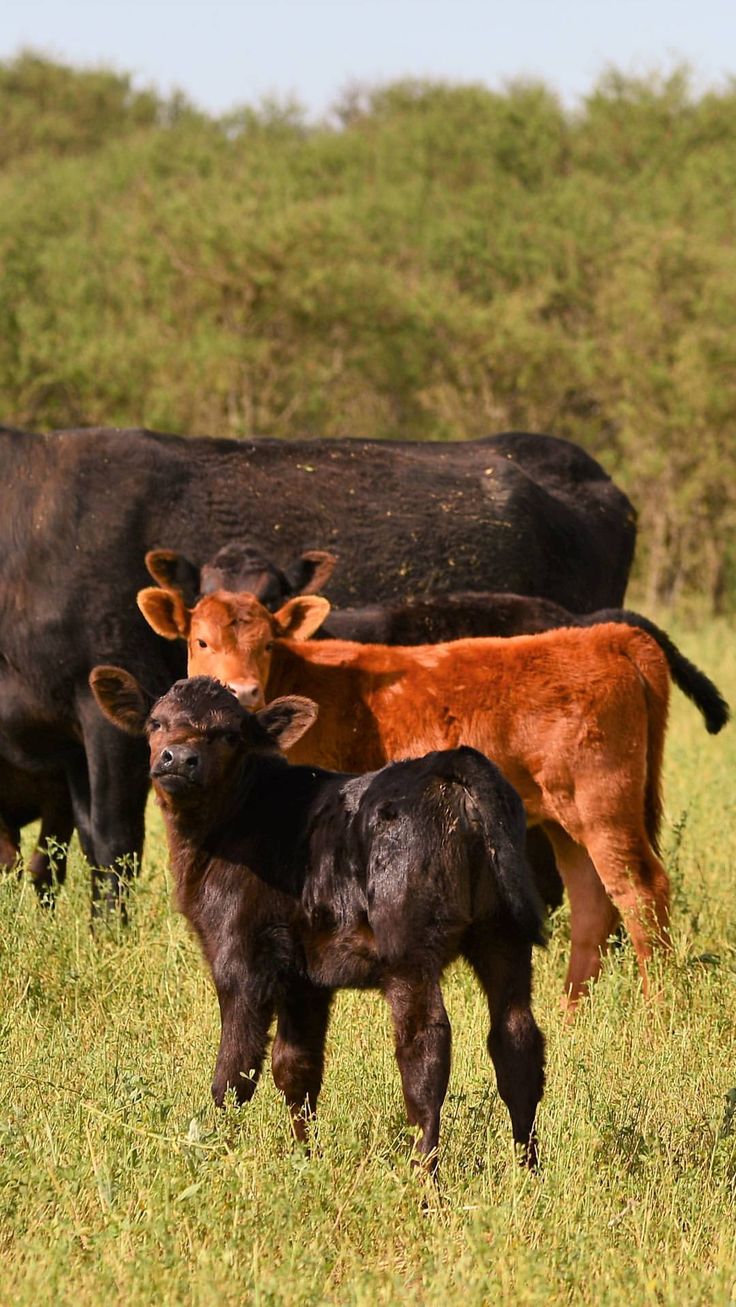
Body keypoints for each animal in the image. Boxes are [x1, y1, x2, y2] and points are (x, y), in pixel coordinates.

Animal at [87, 674, 546, 1176]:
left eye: (229, 734)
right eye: (156, 722)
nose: (179, 759)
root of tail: (449, 762)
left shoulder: (240, 959)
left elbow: (234, 1073)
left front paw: (217, 1155)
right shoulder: (305, 978)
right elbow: (296, 1069)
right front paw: (306, 1160)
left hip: (408, 948)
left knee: (425, 1048)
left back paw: (424, 1177)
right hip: (503, 933)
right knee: (516, 1041)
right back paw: (528, 1173)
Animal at [136, 588, 674, 1003]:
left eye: (267, 643)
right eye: (201, 640)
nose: (241, 691)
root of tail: (604, 637)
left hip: (604, 805)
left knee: (641, 891)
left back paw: (660, 1014)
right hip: (566, 818)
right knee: (592, 903)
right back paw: (569, 1015)